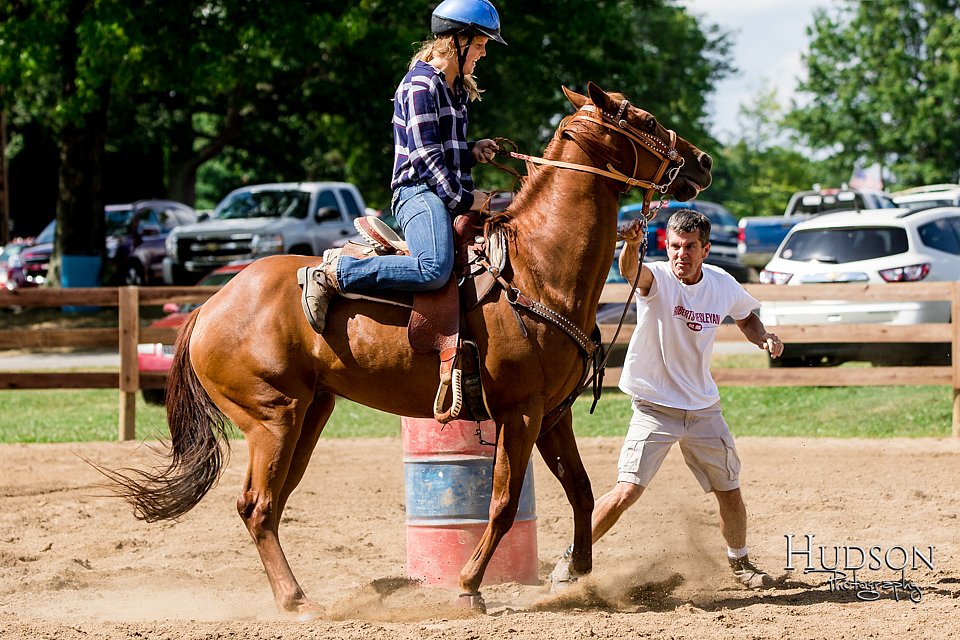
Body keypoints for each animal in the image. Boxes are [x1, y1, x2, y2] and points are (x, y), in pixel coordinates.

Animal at [112, 82, 712, 616]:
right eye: (647, 120)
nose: (702, 161)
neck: (537, 269)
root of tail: (208, 307)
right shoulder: (520, 413)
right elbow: (501, 502)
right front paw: (469, 586)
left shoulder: (552, 414)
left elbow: (583, 492)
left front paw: (576, 573)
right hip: (272, 418)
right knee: (257, 507)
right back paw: (296, 601)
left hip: (310, 415)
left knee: (272, 504)